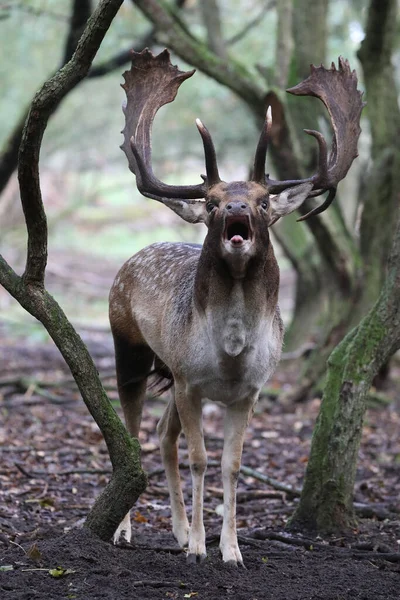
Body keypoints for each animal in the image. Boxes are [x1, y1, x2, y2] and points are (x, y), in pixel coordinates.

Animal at [108, 49, 362, 564]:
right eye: (210, 200)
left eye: (264, 201)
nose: (236, 209)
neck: (230, 354)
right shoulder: (190, 382)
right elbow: (201, 460)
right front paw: (200, 548)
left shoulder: (249, 391)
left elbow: (232, 465)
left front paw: (230, 549)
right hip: (130, 346)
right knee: (133, 433)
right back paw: (125, 531)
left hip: (170, 371)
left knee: (162, 433)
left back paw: (177, 530)